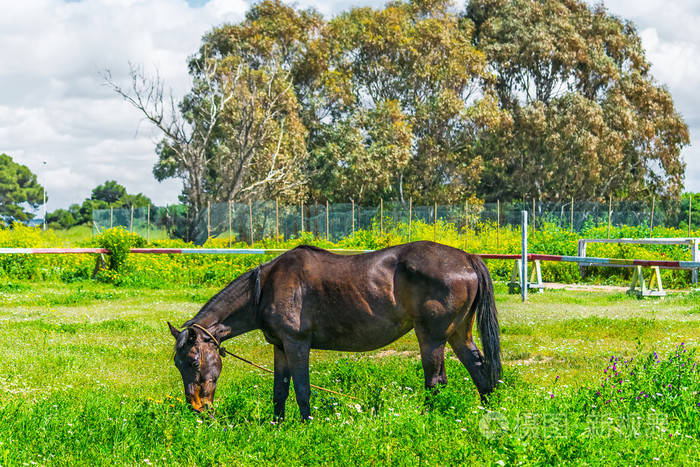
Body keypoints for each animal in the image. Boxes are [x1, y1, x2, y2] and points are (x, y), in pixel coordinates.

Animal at [168, 241, 501, 420]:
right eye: (178, 364)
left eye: (193, 361)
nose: (197, 408)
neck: (266, 287)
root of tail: (467, 258)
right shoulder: (280, 348)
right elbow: (279, 391)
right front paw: (275, 426)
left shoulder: (297, 344)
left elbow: (302, 389)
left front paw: (306, 425)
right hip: (458, 334)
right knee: (480, 370)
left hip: (431, 339)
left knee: (436, 381)